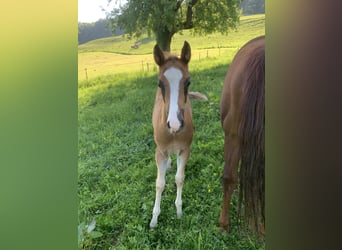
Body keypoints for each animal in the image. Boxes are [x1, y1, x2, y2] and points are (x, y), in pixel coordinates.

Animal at [150, 41, 208, 229]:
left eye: (188, 82)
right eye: (160, 84)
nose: (175, 124)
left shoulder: (185, 149)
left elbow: (179, 178)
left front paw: (179, 210)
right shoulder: (160, 151)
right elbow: (159, 183)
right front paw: (154, 219)